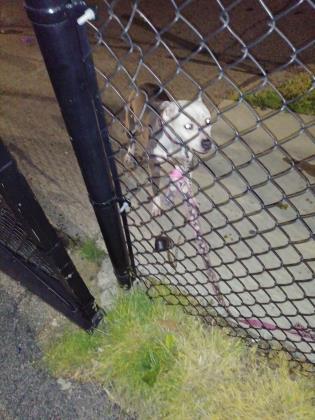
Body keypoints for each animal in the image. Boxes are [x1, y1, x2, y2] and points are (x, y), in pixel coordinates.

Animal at [124, 82, 216, 215]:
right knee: (132, 139)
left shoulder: (186, 159)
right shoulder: (155, 165)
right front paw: (156, 205)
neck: (175, 142)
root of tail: (144, 84)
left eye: (208, 122)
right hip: (131, 122)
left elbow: (186, 175)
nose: (207, 143)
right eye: (188, 126)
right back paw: (129, 156)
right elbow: (156, 187)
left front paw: (187, 190)